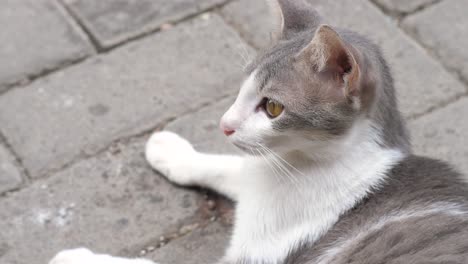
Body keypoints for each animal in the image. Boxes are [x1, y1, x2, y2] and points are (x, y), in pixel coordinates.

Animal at [49, 0, 468, 264]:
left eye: (272, 108)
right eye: (242, 88)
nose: (224, 124)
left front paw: (75, 256)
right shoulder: (256, 177)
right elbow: (227, 166)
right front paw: (170, 150)